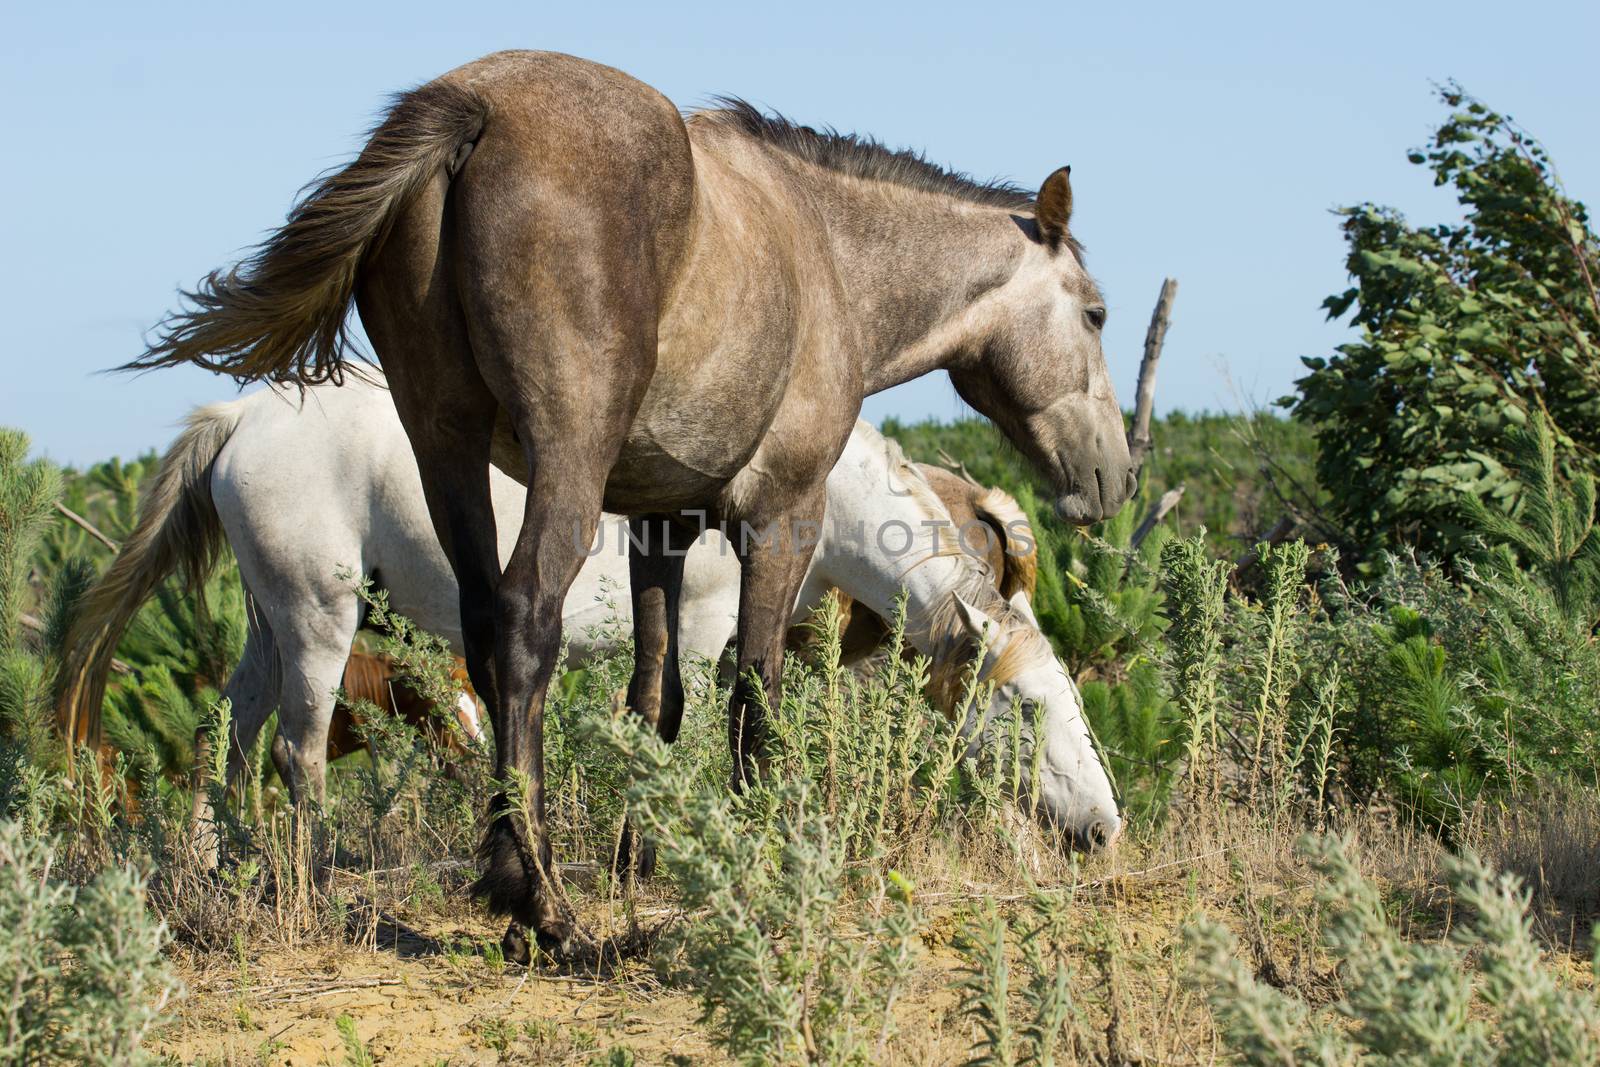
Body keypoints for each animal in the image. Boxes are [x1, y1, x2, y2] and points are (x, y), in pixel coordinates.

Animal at [56, 379, 1120, 844]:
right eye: (1029, 708)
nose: (1105, 827)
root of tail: (244, 414)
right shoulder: (706, 633)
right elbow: (693, 732)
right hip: (319, 621)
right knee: (297, 749)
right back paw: (313, 871)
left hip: (270, 625)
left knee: (229, 736)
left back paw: (226, 863)